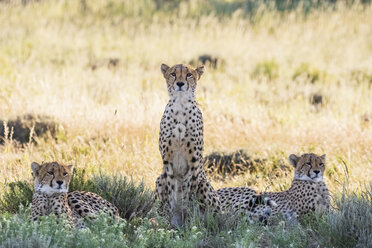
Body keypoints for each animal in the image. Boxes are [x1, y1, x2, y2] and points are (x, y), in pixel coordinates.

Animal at [155, 64, 221, 227]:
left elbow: (189, 193)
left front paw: (191, 220)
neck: (180, 105)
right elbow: (170, 193)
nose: (180, 83)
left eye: (189, 75)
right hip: (159, 178)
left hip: (204, 184)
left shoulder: (194, 162)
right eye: (173, 74)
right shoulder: (167, 162)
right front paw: (168, 220)